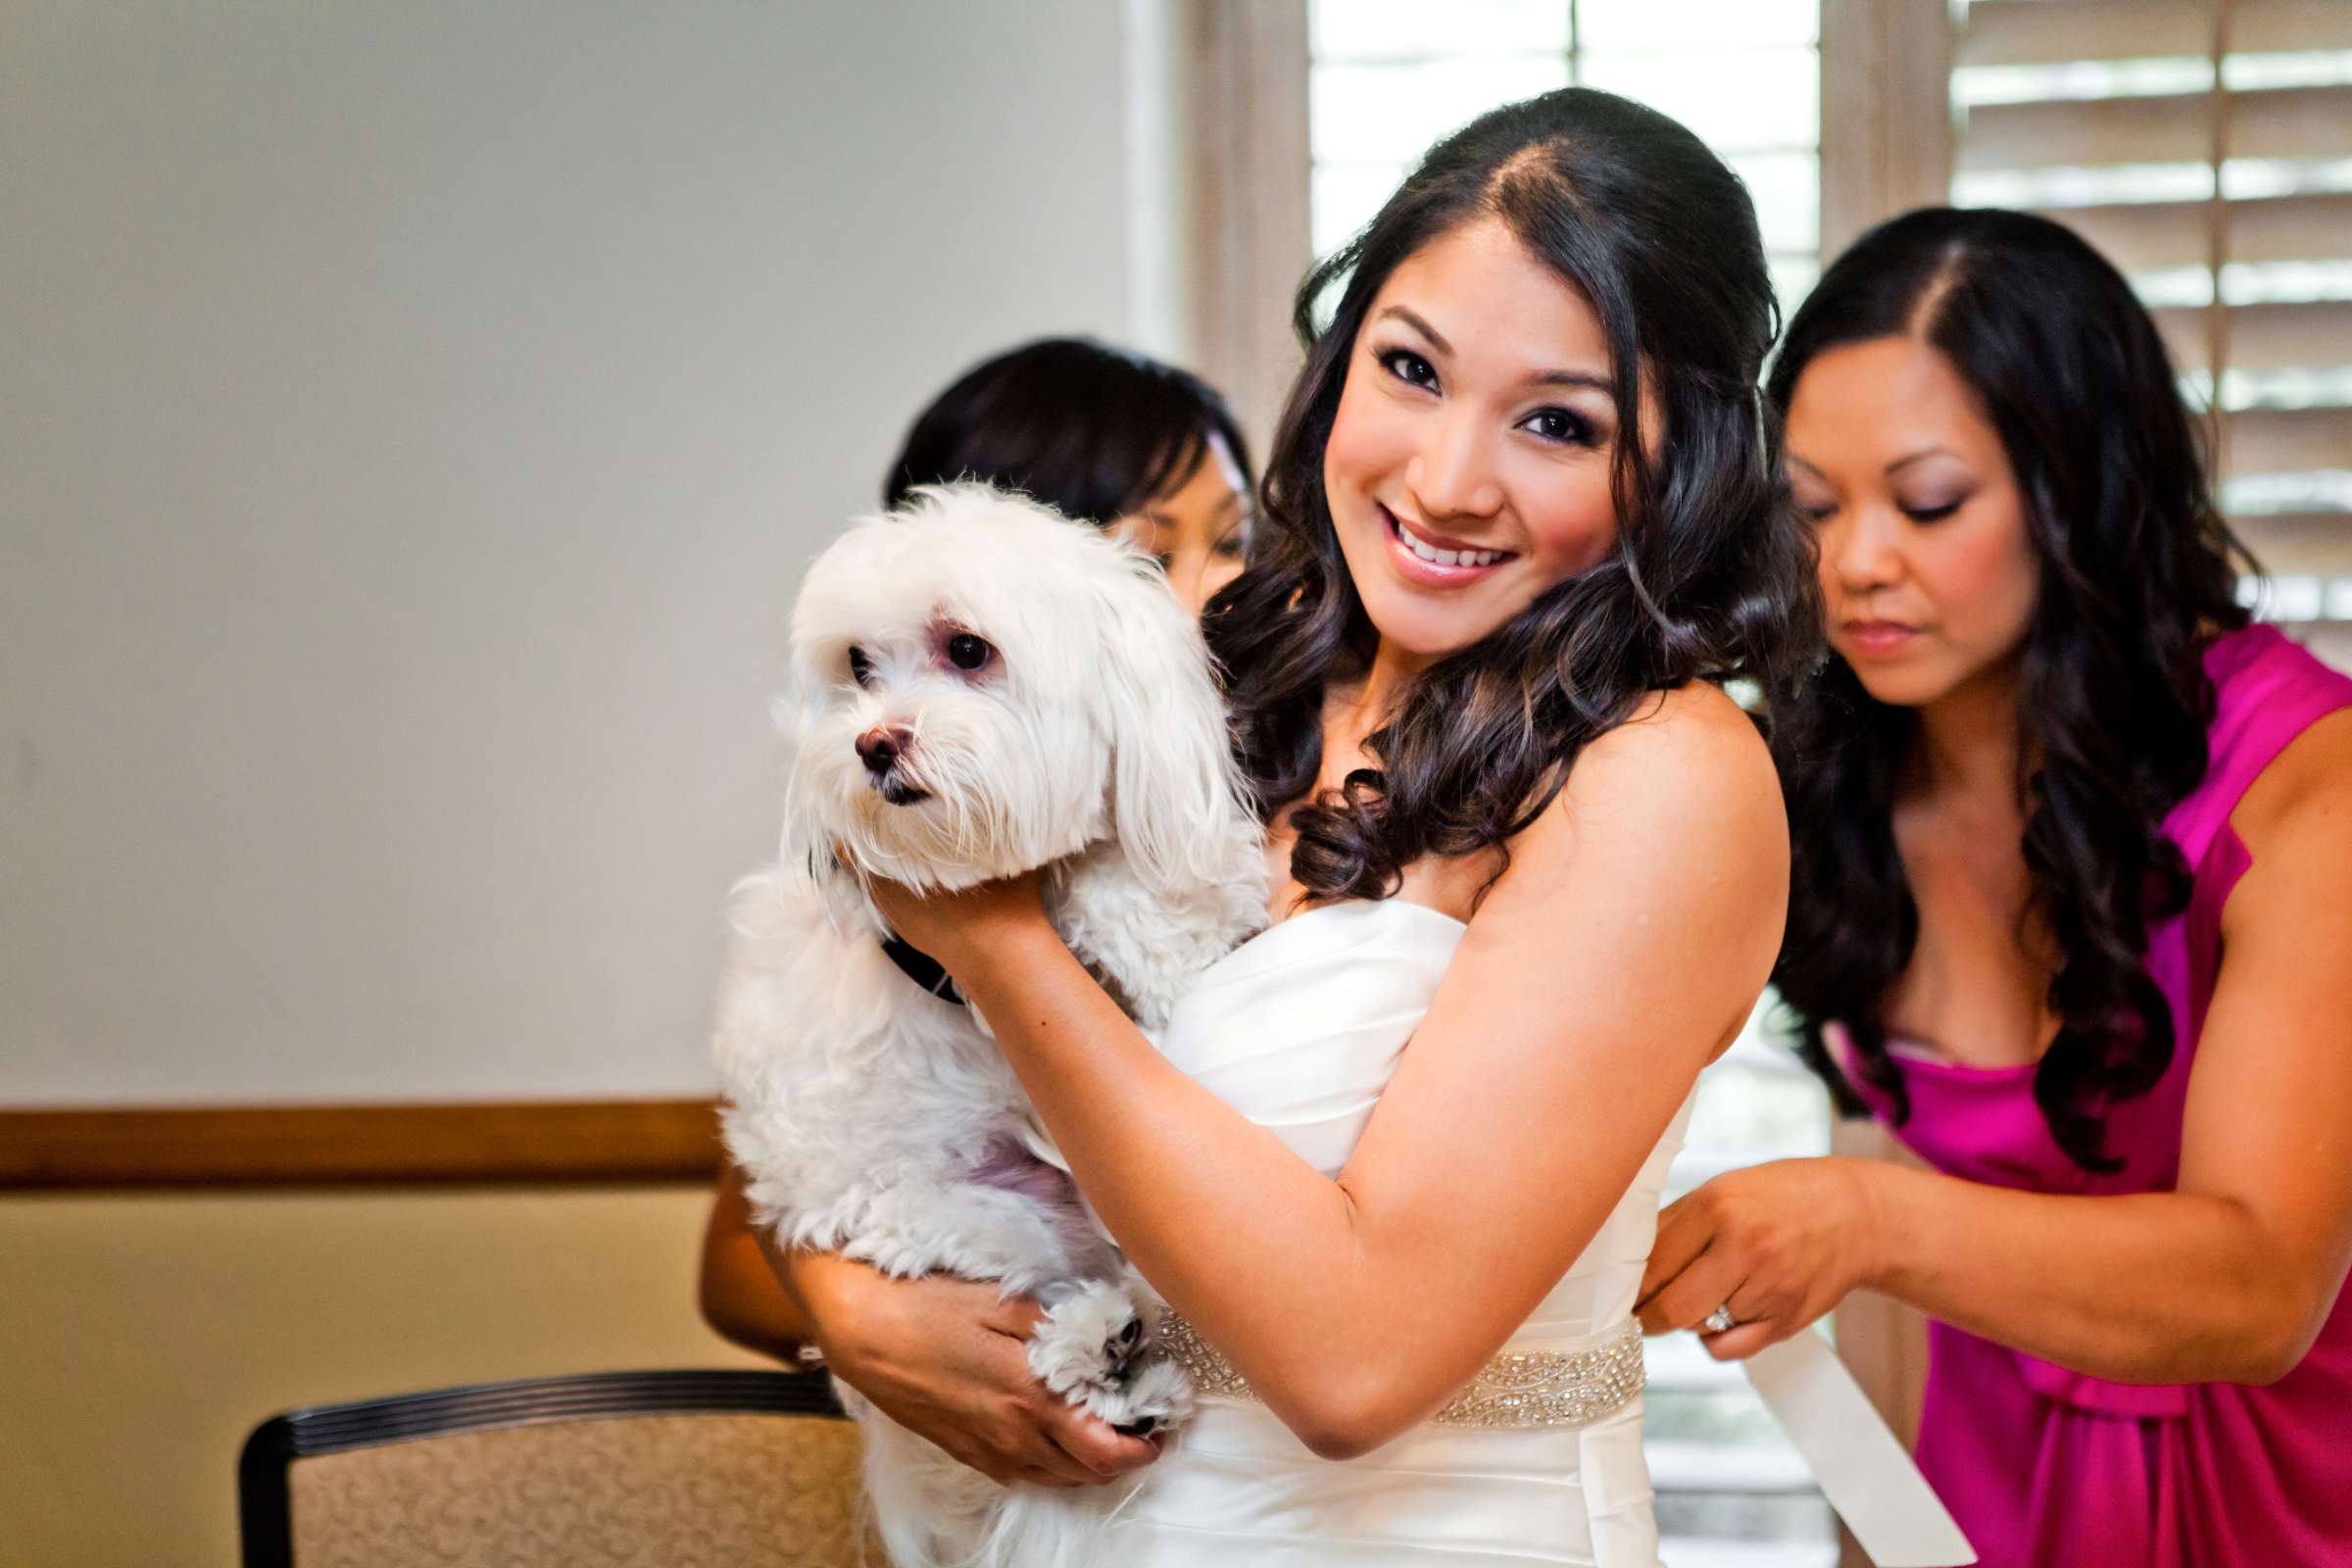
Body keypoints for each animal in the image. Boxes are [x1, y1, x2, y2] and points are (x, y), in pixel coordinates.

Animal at [710, 484, 1270, 1560]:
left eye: (969, 649)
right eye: (859, 667)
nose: (873, 743)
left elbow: (1126, 874)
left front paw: (1184, 903)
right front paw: (1170, 934)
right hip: (951, 1217)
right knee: (1060, 1290)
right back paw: (1104, 1358)